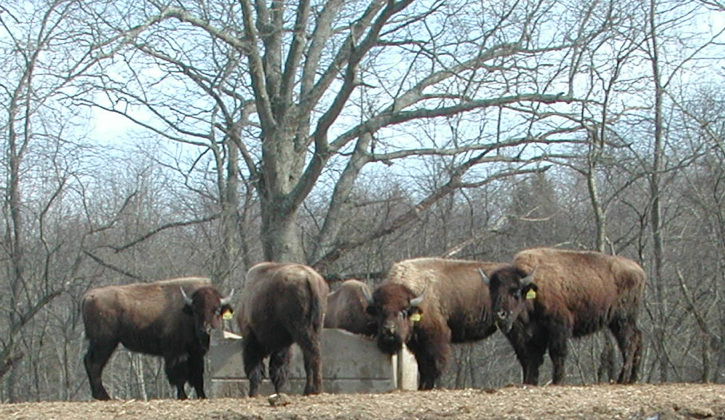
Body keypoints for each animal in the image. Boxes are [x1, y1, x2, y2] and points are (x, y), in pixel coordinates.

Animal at [82, 278, 235, 398]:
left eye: (217, 310)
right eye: (196, 311)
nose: (204, 329)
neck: (186, 311)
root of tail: (89, 297)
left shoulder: (195, 353)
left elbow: (197, 376)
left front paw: (202, 396)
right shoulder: (175, 353)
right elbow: (178, 376)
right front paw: (183, 396)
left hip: (100, 343)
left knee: (89, 362)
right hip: (105, 343)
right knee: (94, 364)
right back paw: (104, 396)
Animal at [236, 262, 330, 398]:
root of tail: (310, 278)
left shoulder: (251, 337)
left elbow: (257, 367)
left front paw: (254, 392)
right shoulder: (282, 344)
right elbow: (278, 369)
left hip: (301, 329)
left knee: (313, 353)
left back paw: (316, 390)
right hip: (316, 327)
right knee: (309, 358)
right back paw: (308, 391)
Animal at [364, 258, 506, 388]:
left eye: (403, 311)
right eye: (379, 310)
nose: (388, 329)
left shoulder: (435, 338)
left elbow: (434, 365)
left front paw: (429, 386)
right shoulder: (417, 344)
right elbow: (422, 366)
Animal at [480, 248, 644, 386]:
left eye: (515, 292)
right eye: (492, 292)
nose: (500, 314)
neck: (535, 287)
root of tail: (639, 270)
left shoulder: (558, 327)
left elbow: (556, 353)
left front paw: (557, 381)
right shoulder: (533, 334)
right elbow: (533, 358)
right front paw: (530, 382)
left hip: (622, 320)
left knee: (629, 342)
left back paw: (622, 379)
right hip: (619, 322)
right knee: (637, 338)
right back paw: (632, 378)